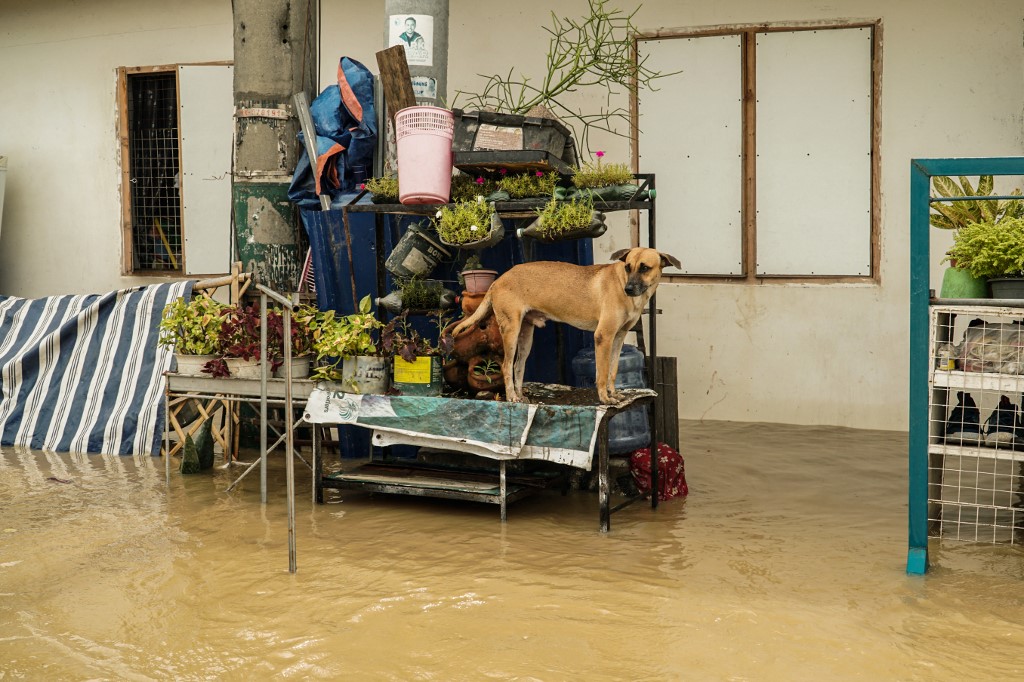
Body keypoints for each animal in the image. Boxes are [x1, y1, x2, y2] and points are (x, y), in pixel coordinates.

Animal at [454, 245, 679, 401]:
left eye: (644, 268)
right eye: (628, 267)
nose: (628, 289)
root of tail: (497, 281)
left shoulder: (618, 337)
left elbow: (613, 371)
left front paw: (613, 394)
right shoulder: (603, 337)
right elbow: (602, 373)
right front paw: (605, 398)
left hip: (525, 336)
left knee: (518, 366)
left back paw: (520, 396)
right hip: (510, 331)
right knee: (506, 366)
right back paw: (511, 397)